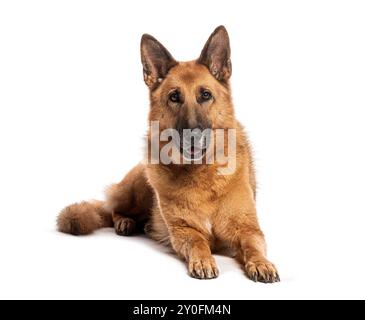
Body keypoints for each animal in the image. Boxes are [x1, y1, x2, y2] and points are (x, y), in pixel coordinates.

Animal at [57, 26, 278, 282]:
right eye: (174, 97)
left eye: (205, 95)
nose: (192, 136)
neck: (201, 174)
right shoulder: (183, 230)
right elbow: (198, 242)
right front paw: (203, 260)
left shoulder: (248, 229)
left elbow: (253, 246)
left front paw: (262, 263)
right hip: (136, 188)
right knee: (111, 210)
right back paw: (125, 222)